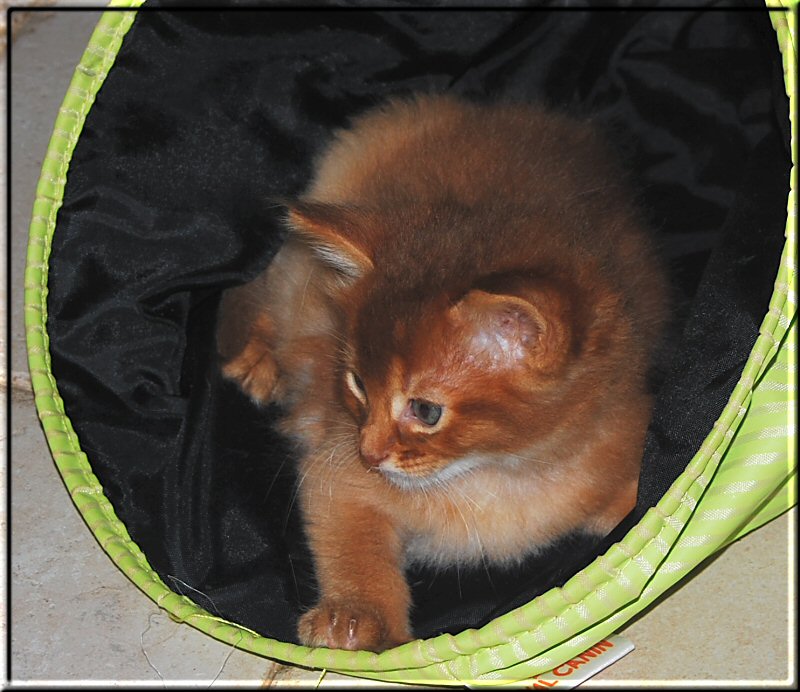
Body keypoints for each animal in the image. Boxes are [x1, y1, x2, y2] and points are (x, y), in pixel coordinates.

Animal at [217, 94, 668, 652]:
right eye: (357, 384)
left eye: (426, 410)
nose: (368, 453)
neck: (495, 475)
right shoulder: (334, 475)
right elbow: (353, 549)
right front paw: (356, 615)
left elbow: (628, 499)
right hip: (295, 281)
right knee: (252, 292)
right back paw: (256, 360)